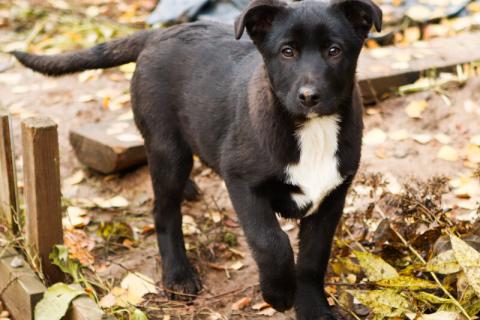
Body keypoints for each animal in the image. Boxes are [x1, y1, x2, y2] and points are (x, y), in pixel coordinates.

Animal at [12, 0, 382, 318]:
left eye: (334, 51)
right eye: (287, 52)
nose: (309, 97)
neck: (311, 130)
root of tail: (159, 33)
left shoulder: (333, 195)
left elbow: (312, 260)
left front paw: (314, 309)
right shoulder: (242, 182)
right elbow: (271, 242)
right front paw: (278, 293)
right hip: (167, 149)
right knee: (164, 212)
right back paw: (178, 274)